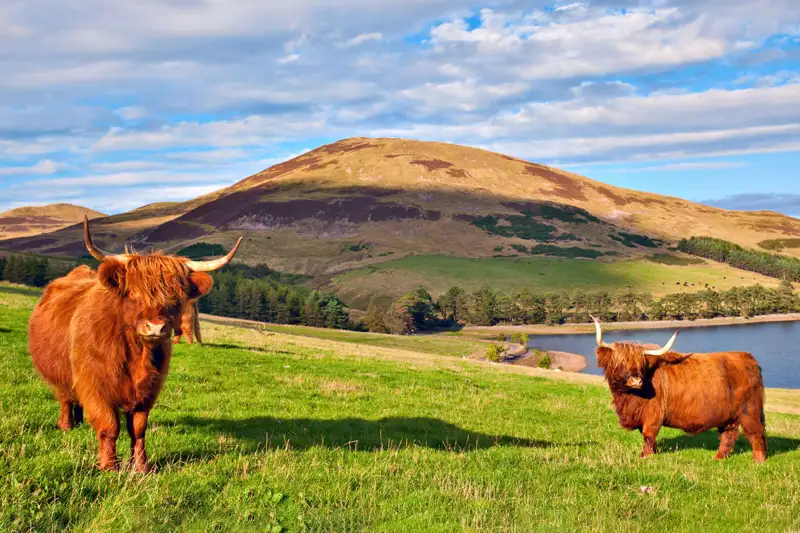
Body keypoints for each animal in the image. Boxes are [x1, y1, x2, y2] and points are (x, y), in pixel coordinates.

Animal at [592, 316, 764, 462]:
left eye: (641, 363)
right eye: (620, 362)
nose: (636, 380)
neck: (629, 398)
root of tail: (749, 358)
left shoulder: (654, 413)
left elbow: (648, 434)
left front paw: (646, 456)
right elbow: (646, 436)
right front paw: (653, 453)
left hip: (750, 410)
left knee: (756, 432)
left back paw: (758, 461)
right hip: (728, 415)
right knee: (729, 434)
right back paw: (718, 458)